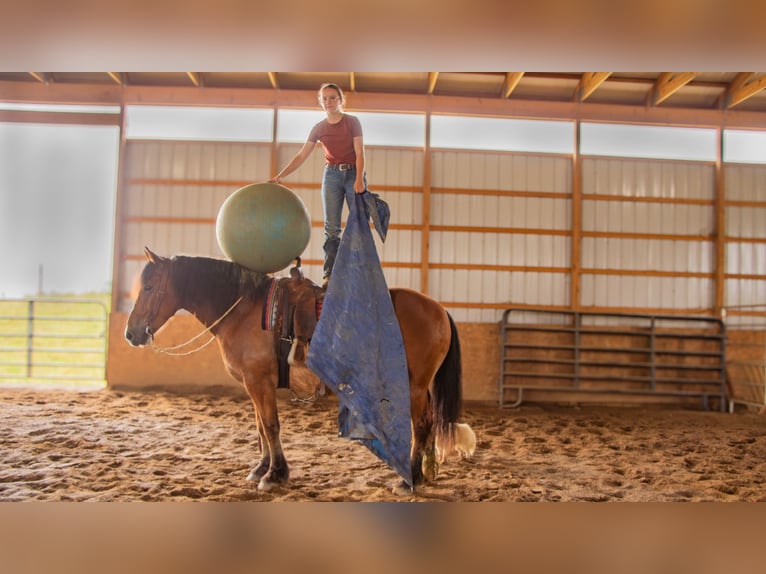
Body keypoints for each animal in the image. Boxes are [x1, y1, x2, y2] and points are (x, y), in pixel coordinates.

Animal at [124, 249, 468, 496]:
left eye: (150, 287)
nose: (131, 333)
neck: (243, 310)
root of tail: (438, 308)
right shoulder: (252, 385)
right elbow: (260, 427)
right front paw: (261, 469)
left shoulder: (259, 382)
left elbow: (270, 426)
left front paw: (275, 475)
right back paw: (427, 472)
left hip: (414, 385)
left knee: (421, 425)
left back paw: (410, 480)